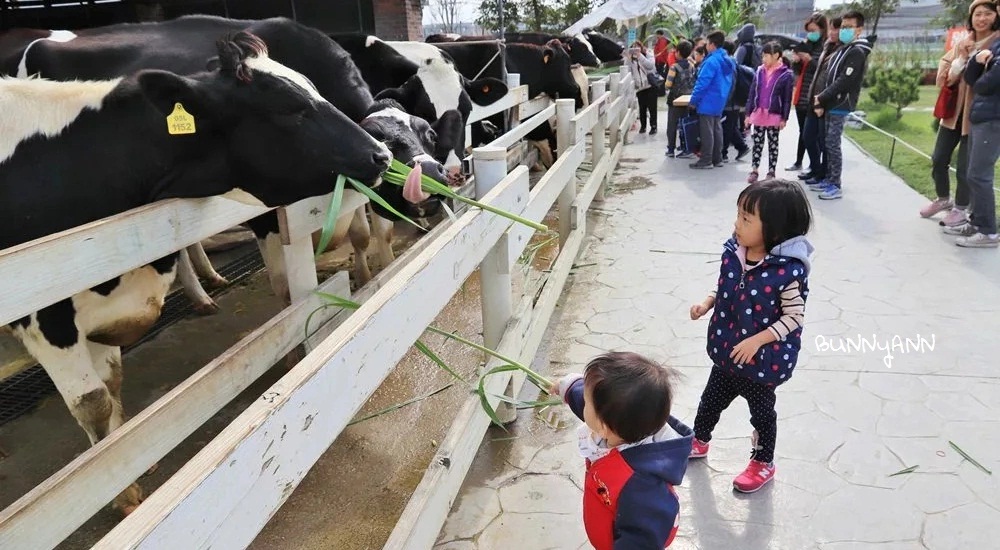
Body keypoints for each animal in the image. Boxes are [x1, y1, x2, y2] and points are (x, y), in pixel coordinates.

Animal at [2, 32, 394, 516]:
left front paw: (126, 460)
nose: (382, 155)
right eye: (289, 108)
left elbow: (111, 383)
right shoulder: (45, 317)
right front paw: (121, 493)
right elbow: (92, 402)